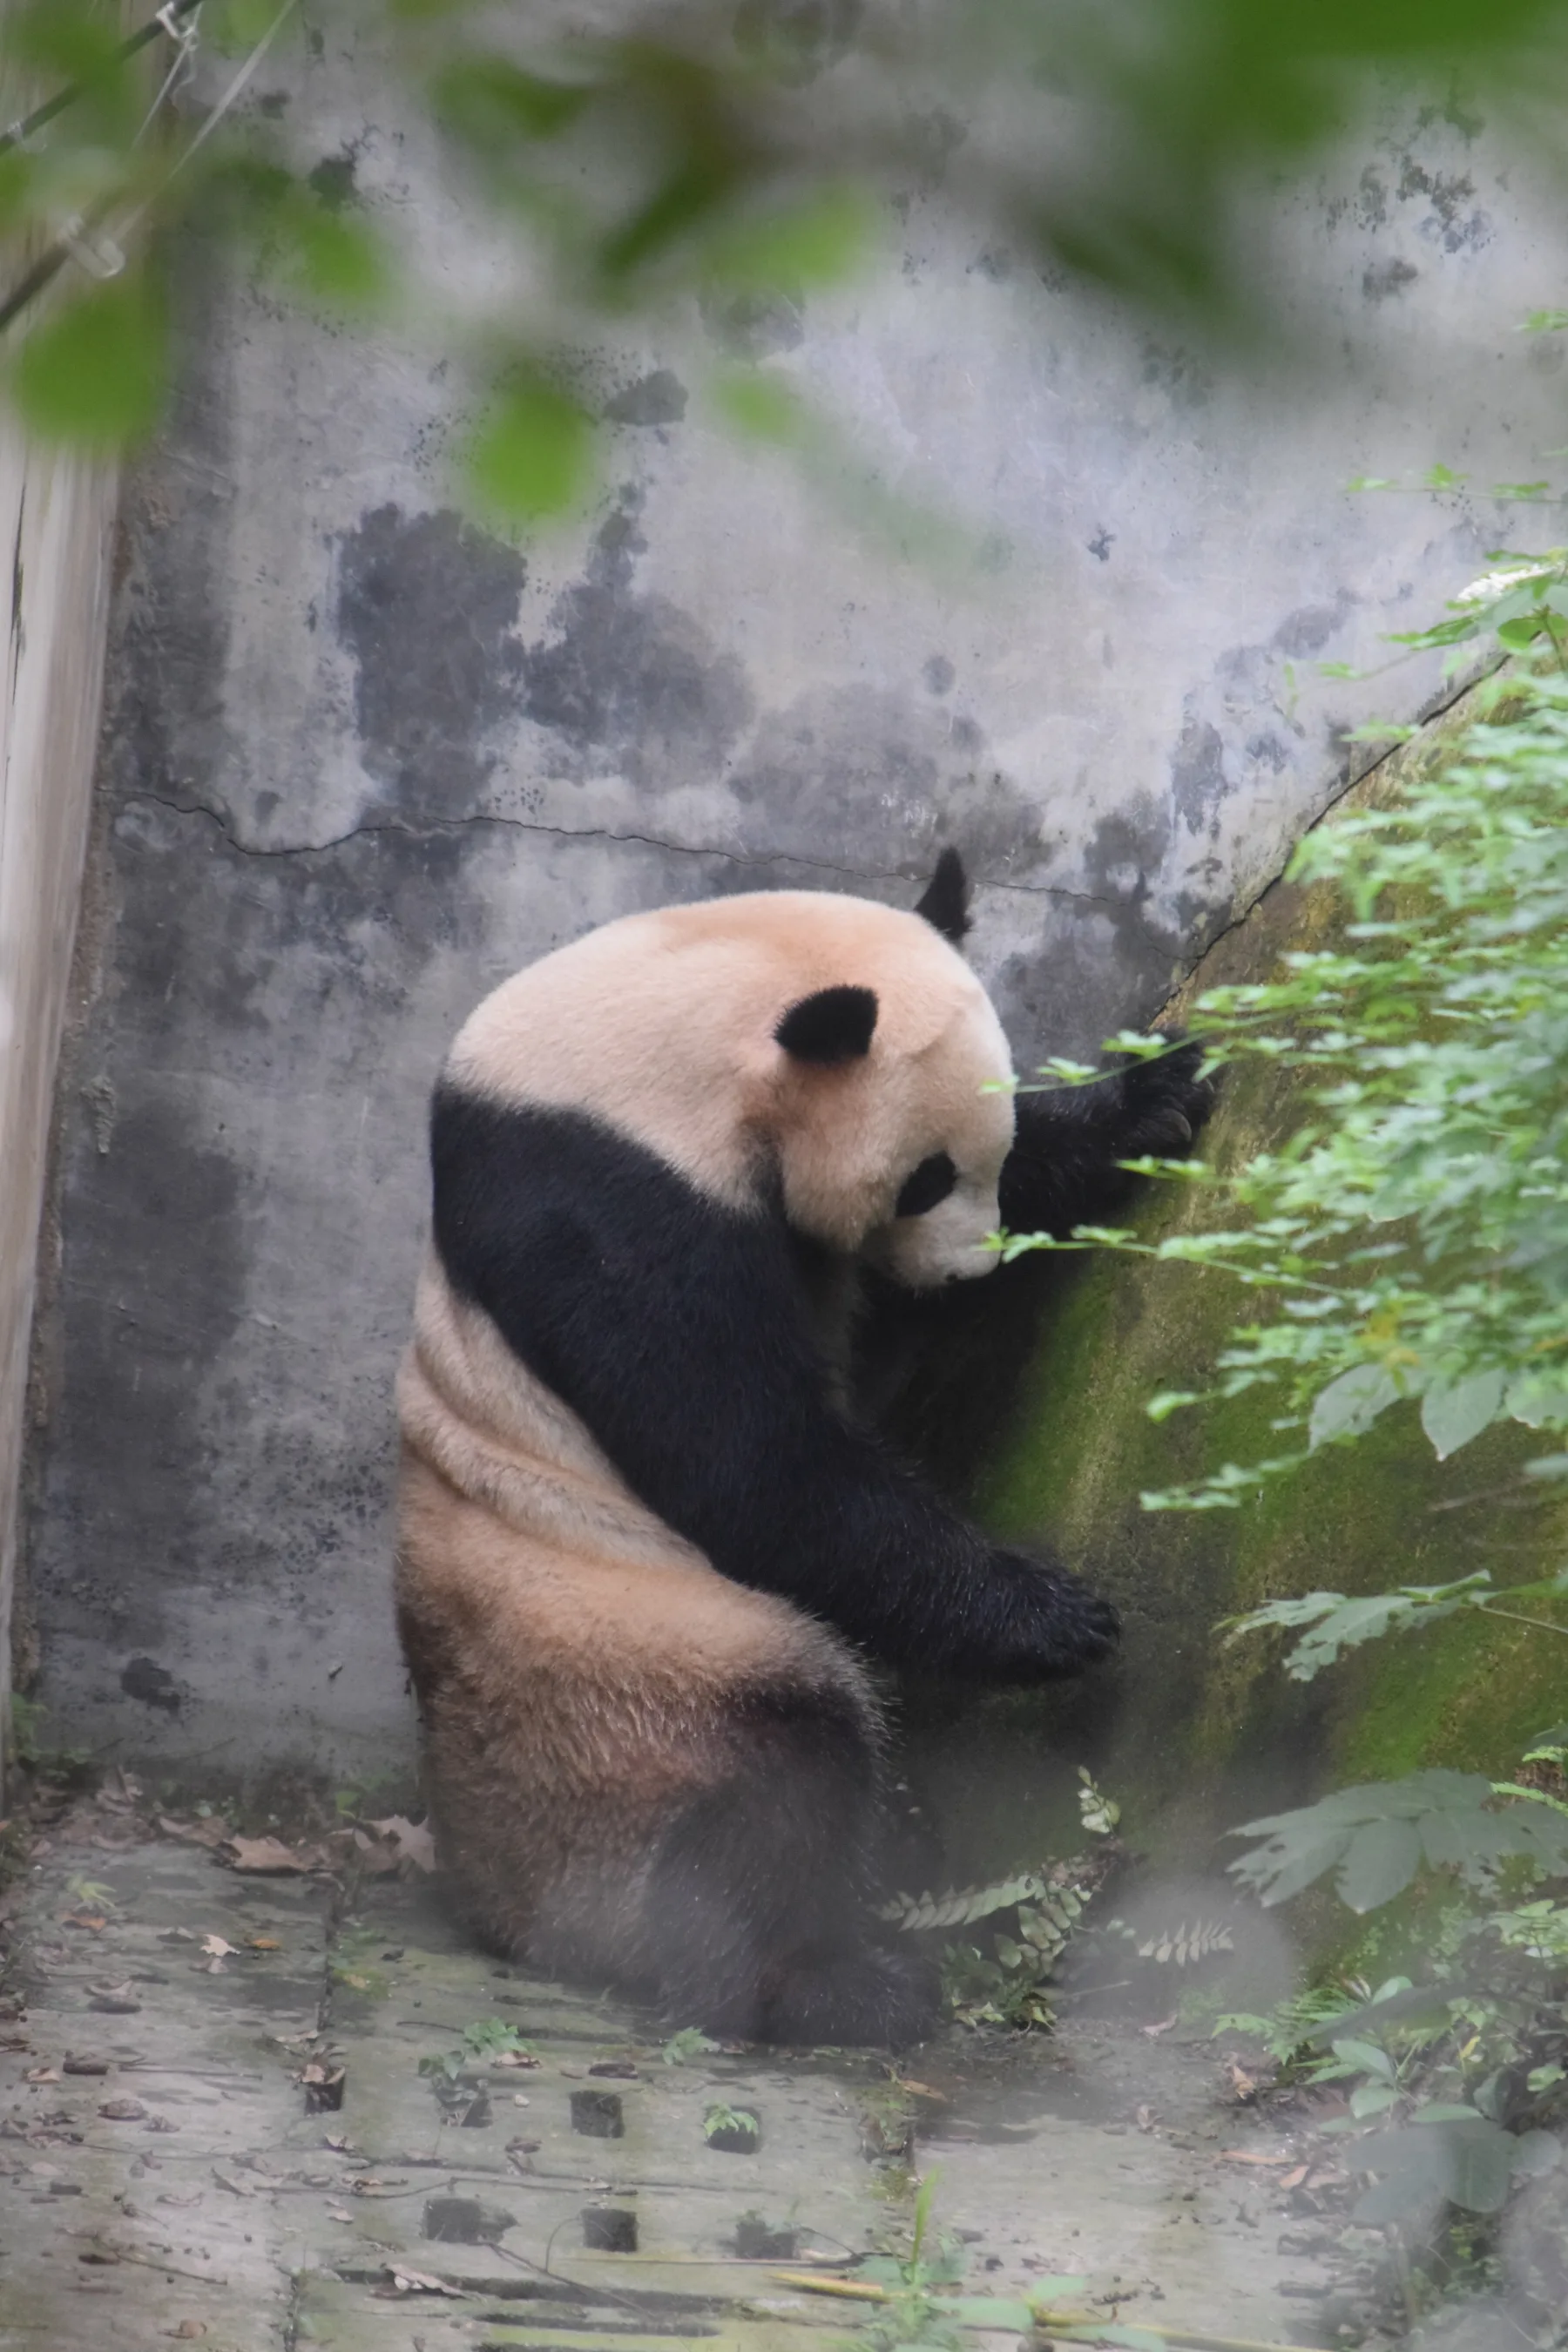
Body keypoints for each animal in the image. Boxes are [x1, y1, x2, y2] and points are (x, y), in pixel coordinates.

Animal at [394, 850, 1211, 2047]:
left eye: (988, 1158)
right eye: (925, 1175)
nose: (968, 1273)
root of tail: (496, 1889)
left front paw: (1156, 1094)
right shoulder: (608, 1201)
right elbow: (750, 1458)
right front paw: (1051, 1618)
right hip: (616, 1647)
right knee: (775, 1760)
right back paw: (826, 1984)